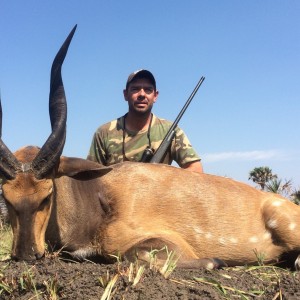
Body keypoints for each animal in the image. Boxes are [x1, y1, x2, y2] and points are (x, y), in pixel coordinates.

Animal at [0, 26, 300, 270]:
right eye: (6, 197)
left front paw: (215, 261)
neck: (98, 196)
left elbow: (135, 254)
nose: (26, 255)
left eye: (47, 196)